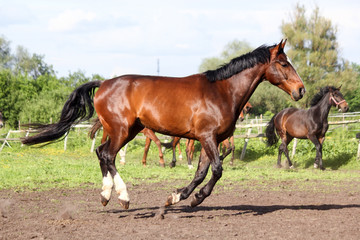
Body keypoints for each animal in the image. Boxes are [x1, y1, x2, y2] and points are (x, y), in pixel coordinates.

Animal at [21, 39, 304, 208]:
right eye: (283, 63)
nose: (300, 90)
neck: (222, 91)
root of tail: (103, 83)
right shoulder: (208, 137)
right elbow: (216, 170)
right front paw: (194, 199)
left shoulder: (208, 140)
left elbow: (201, 172)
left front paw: (178, 196)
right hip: (121, 130)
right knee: (108, 156)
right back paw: (123, 197)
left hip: (124, 130)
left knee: (101, 154)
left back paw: (105, 195)